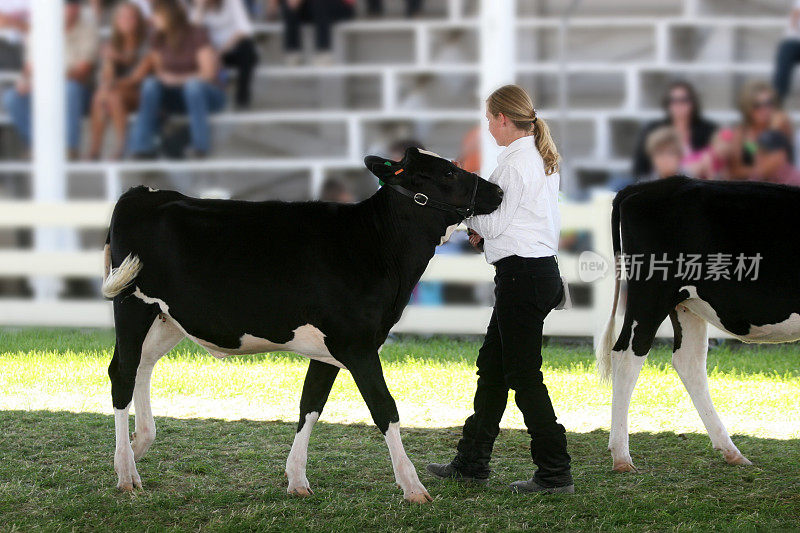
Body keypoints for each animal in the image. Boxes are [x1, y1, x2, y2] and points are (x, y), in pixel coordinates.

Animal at [103, 147, 504, 502]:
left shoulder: (330, 349)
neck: (375, 244)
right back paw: (125, 473)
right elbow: (385, 408)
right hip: (131, 303)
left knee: (142, 366)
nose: (498, 191)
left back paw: (139, 445)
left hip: (167, 317)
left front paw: (296, 479)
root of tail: (143, 193)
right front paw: (413, 487)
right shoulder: (356, 343)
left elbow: (310, 404)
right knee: (122, 373)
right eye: (448, 172)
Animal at [596, 177, 796, 472]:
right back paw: (621, 456)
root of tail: (649, 186)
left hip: (687, 303)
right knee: (627, 355)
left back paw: (731, 451)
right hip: (652, 292)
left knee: (689, 361)